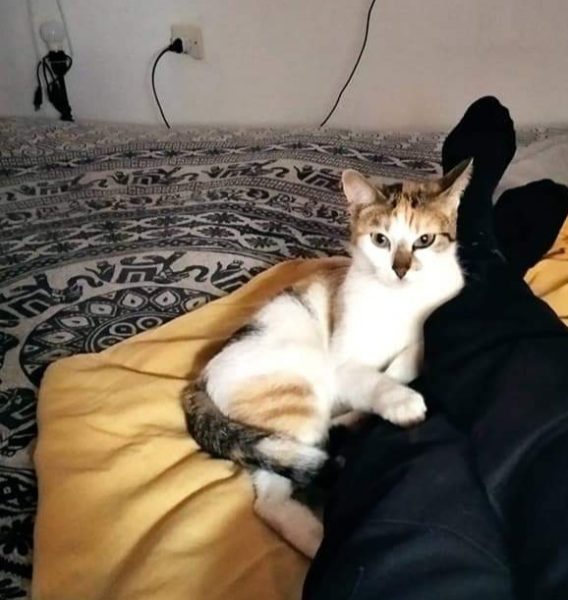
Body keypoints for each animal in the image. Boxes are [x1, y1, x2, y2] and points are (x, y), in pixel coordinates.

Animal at [182, 159, 472, 558]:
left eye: (424, 241)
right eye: (380, 240)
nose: (400, 269)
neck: (401, 303)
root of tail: (200, 380)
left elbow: (414, 351)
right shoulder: (343, 361)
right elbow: (373, 377)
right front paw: (401, 402)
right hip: (298, 389)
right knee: (270, 497)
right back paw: (319, 539)